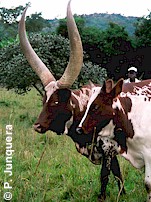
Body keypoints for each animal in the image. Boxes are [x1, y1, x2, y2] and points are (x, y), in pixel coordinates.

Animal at [18, 1, 125, 200]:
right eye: (44, 100)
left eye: (56, 101)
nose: (37, 126)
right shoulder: (111, 153)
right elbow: (117, 174)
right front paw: (123, 194)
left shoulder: (108, 149)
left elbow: (106, 175)